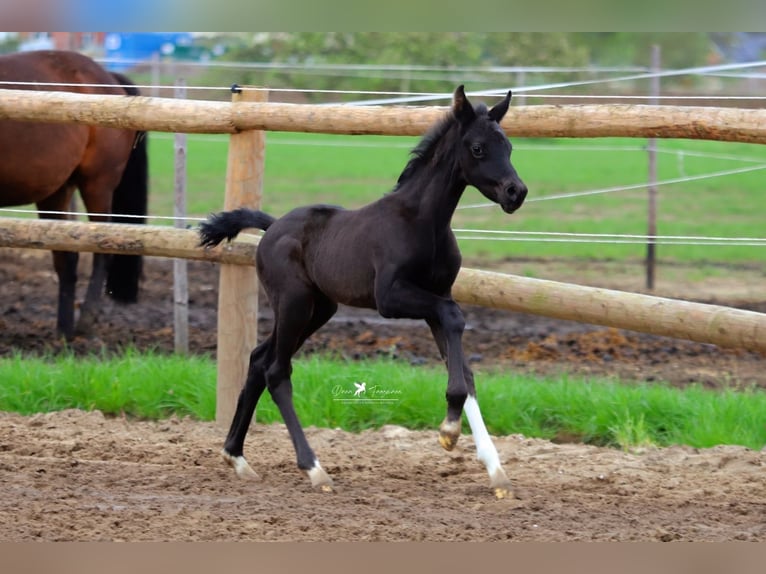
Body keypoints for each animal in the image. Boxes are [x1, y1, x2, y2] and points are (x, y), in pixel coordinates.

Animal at [0, 50, 148, 342]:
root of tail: (109, 77)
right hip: (57, 191)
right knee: (66, 258)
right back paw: (63, 331)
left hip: (97, 185)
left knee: (102, 248)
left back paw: (86, 320)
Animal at [201, 85, 532, 500]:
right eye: (477, 148)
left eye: (509, 147)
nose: (516, 192)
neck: (424, 223)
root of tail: (272, 225)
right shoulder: (391, 298)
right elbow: (455, 317)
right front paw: (449, 432)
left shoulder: (436, 297)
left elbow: (464, 364)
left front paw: (492, 466)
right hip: (294, 303)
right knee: (277, 371)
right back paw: (314, 468)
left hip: (318, 308)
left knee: (259, 359)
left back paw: (237, 457)